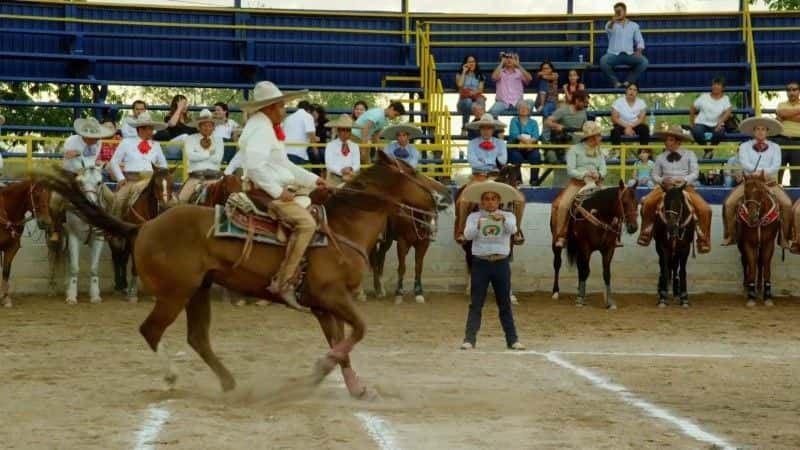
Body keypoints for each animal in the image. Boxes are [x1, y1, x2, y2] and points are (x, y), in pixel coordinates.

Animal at [0, 178, 51, 306]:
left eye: (48, 195)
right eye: (36, 194)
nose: (46, 222)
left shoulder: (12, 247)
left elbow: (6, 271)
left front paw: (6, 298)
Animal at [111, 166, 175, 302]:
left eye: (171, 184)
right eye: (156, 184)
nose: (164, 205)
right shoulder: (134, 239)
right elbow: (135, 265)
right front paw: (133, 295)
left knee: (123, 259)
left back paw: (125, 286)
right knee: (117, 258)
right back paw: (119, 287)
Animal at [552, 180, 640, 310]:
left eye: (637, 203)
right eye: (624, 202)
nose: (633, 227)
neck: (601, 215)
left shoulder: (609, 249)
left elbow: (606, 273)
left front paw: (610, 302)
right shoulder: (586, 246)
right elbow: (585, 270)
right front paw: (580, 300)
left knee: (580, 267)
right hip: (557, 242)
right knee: (558, 263)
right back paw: (556, 292)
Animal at [732, 172, 780, 306]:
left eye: (761, 191)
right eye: (745, 191)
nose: (752, 216)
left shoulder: (768, 243)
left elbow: (766, 266)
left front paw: (767, 297)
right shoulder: (748, 244)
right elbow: (752, 266)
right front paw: (751, 296)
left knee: (760, 262)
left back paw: (759, 289)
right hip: (741, 245)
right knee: (745, 262)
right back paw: (746, 288)